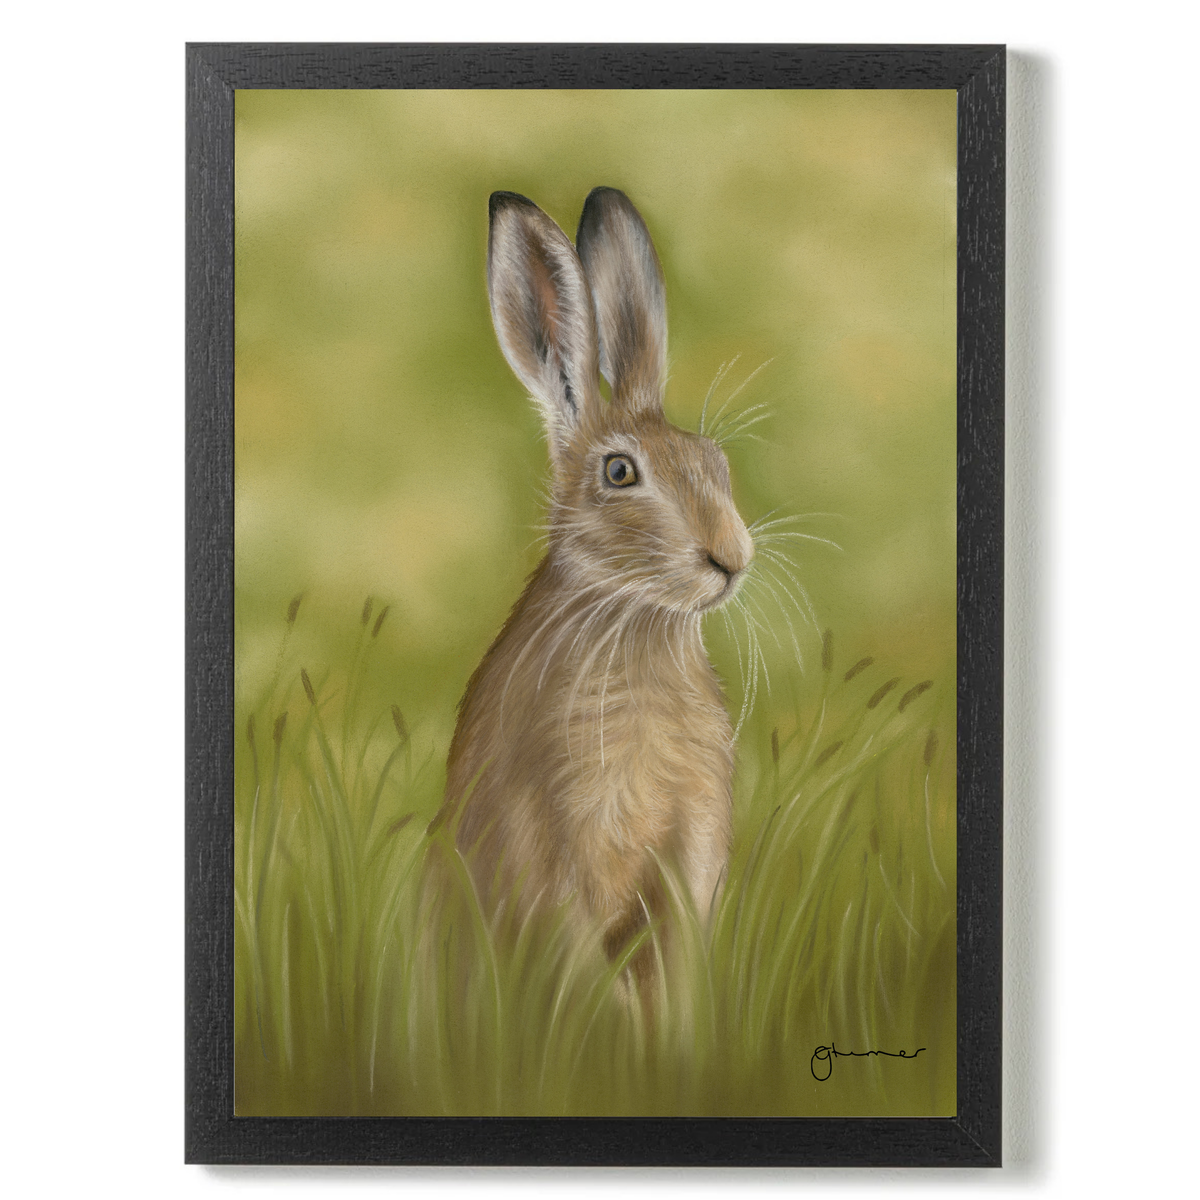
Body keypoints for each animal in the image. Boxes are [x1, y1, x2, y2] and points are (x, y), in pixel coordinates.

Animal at [444, 187, 754, 984]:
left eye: (715, 461)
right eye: (619, 473)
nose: (731, 556)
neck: (637, 623)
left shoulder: (691, 852)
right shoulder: (554, 845)